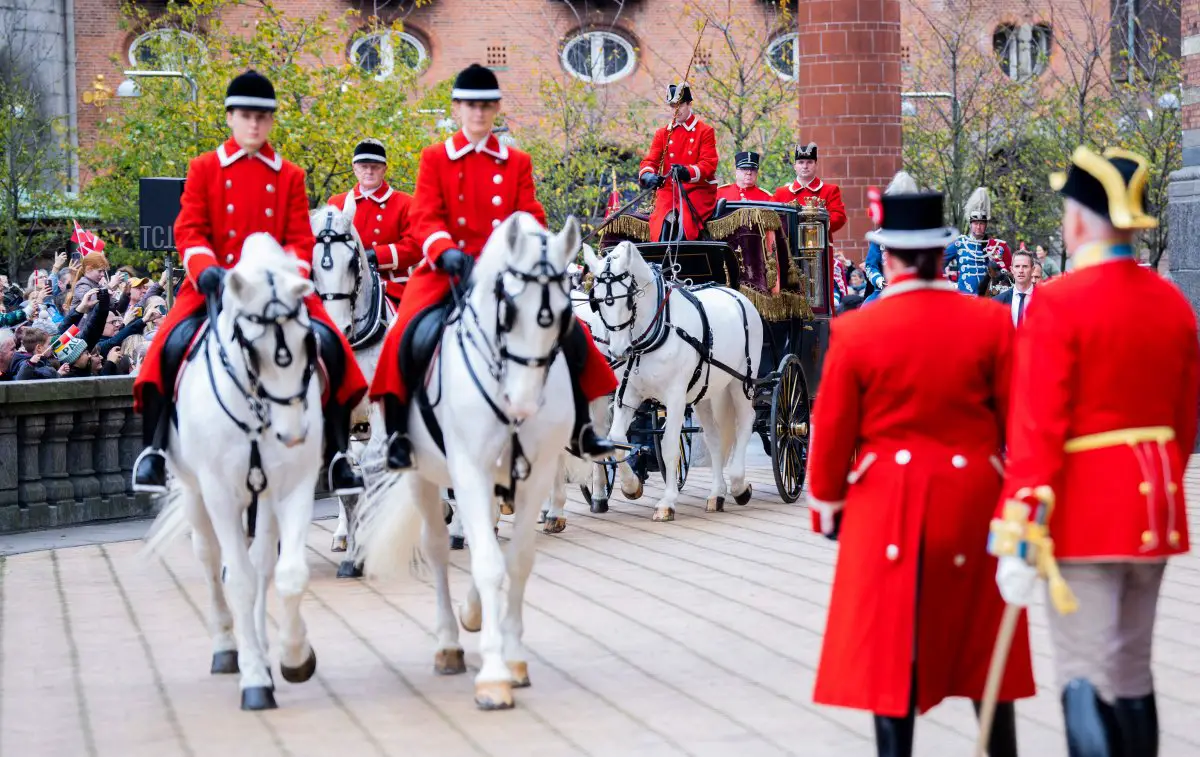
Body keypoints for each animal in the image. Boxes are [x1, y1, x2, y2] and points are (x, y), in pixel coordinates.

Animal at [140, 233, 324, 710]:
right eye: (252, 347)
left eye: (308, 341)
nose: (293, 433)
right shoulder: (220, 493)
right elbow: (236, 579)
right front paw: (255, 678)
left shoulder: (292, 488)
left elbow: (288, 574)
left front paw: (294, 656)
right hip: (195, 492)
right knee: (210, 559)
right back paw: (228, 647)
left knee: (261, 565)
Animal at [350, 212, 580, 710]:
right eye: (507, 310)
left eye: (565, 314)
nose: (522, 403)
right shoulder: (469, 472)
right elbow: (489, 563)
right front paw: (493, 676)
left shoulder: (533, 476)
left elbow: (517, 560)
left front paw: (513, 658)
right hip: (422, 475)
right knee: (438, 548)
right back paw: (450, 645)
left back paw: (473, 613)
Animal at [578, 241, 758, 520]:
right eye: (596, 300)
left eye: (629, 299)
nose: (619, 351)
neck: (655, 331)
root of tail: (734, 292)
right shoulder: (628, 393)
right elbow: (617, 439)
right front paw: (631, 487)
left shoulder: (675, 396)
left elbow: (669, 444)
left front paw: (667, 502)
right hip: (704, 392)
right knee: (714, 437)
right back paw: (717, 494)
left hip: (740, 381)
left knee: (746, 420)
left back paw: (739, 485)